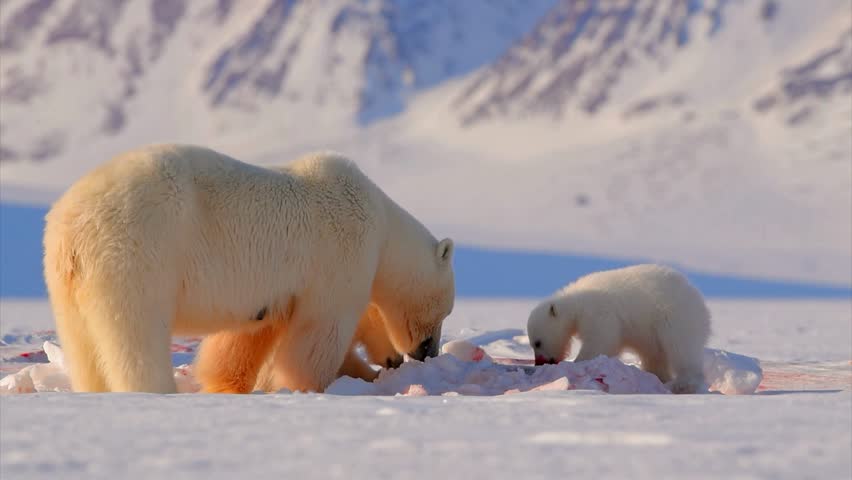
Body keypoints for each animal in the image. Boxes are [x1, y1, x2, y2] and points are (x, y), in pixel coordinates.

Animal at [43, 143, 455, 394]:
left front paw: (226, 383)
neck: (382, 224)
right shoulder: (340, 254)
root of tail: (71, 225)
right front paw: (309, 385)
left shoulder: (271, 293)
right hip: (137, 253)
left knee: (83, 344)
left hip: (68, 278)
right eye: (445, 310)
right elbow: (317, 335)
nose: (427, 352)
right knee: (135, 333)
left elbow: (247, 337)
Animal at [526, 264, 711, 394]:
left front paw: (579, 364)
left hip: (675, 317)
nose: (538, 363)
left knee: (681, 348)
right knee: (654, 355)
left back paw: (684, 384)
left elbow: (602, 341)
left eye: (537, 343)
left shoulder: (598, 313)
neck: (576, 303)